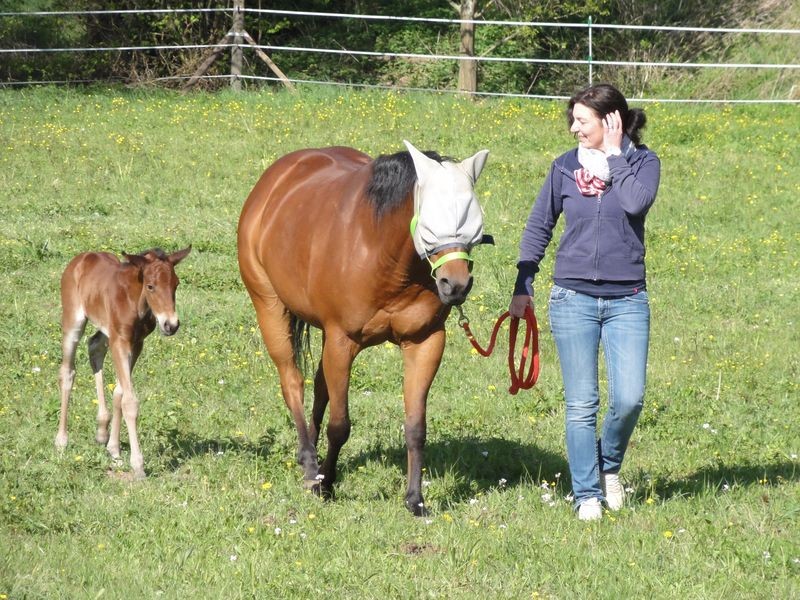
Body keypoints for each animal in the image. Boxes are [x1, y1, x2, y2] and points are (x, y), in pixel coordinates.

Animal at [55, 246, 191, 480]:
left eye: (176, 284)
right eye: (150, 286)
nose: (171, 325)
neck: (136, 302)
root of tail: (80, 258)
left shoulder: (136, 343)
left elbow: (119, 392)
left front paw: (115, 451)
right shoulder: (120, 341)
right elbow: (129, 401)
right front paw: (138, 465)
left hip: (105, 329)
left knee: (95, 347)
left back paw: (102, 429)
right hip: (73, 320)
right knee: (68, 371)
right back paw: (62, 440)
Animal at [237, 140, 489, 515]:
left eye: (473, 222)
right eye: (429, 223)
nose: (455, 285)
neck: (382, 254)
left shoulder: (425, 342)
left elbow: (415, 426)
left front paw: (415, 499)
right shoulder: (342, 341)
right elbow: (340, 425)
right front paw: (326, 485)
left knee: (319, 388)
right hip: (270, 307)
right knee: (293, 382)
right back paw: (309, 464)